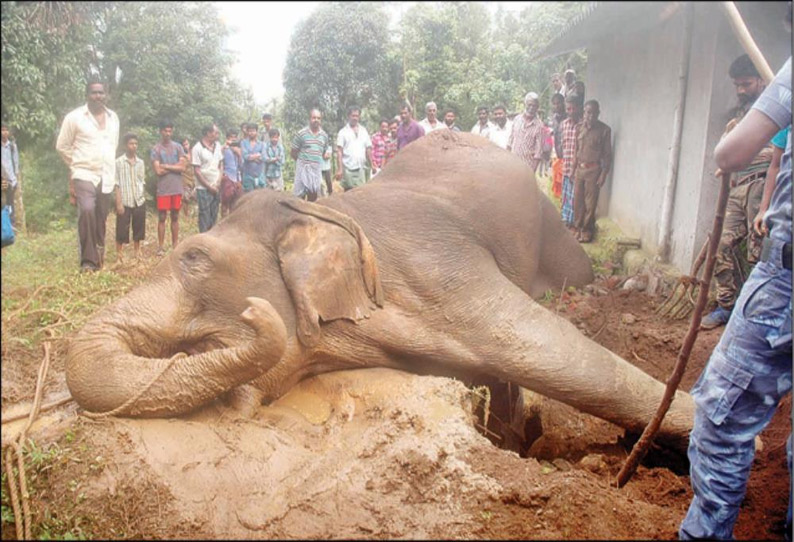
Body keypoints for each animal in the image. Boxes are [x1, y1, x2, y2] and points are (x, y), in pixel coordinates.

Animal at [63, 130, 692, 452]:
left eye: (195, 258)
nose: (255, 314)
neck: (321, 208)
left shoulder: (436, 263)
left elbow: (554, 355)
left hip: (554, 229)